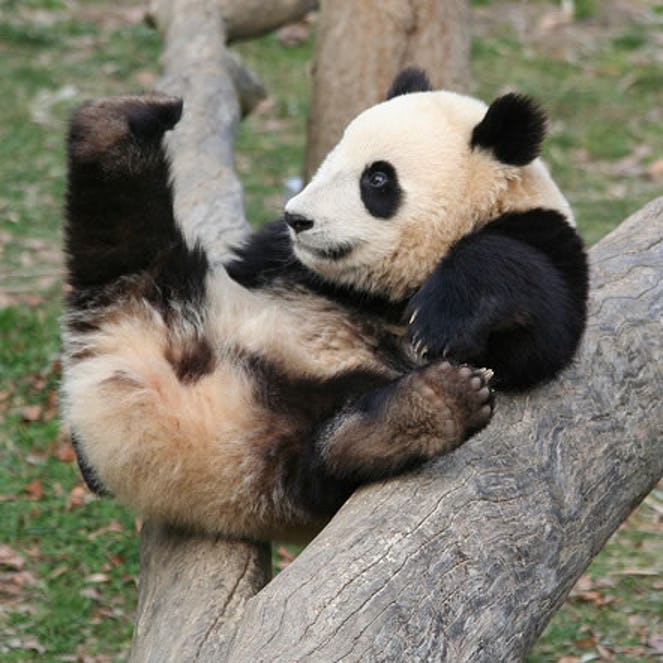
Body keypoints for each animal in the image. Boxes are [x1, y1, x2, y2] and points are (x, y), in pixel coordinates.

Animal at [61, 68, 588, 542]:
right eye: (332, 159)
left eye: (377, 179)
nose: (297, 218)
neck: (380, 287)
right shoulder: (272, 256)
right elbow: (246, 262)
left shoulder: (545, 239)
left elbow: (542, 331)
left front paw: (440, 322)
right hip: (176, 292)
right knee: (125, 234)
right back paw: (124, 119)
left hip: (294, 439)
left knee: (323, 456)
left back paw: (424, 409)